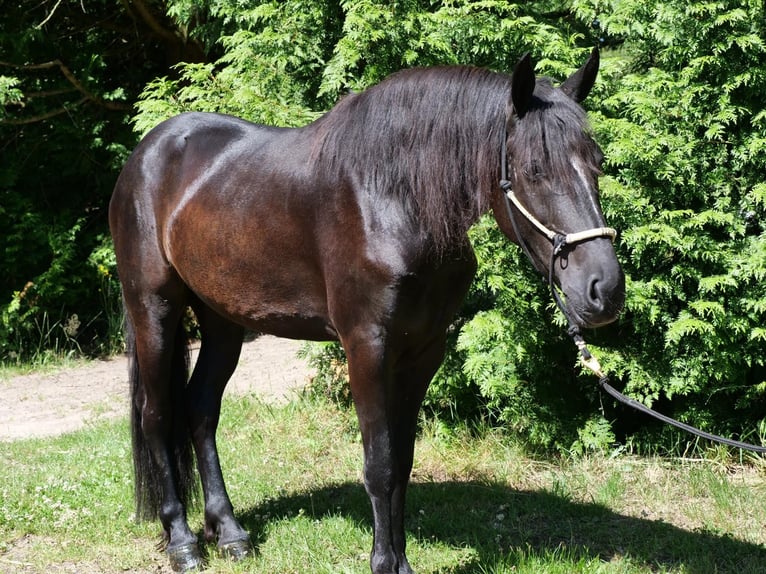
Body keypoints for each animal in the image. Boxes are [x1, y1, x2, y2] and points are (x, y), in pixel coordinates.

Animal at [109, 50, 624, 574]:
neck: (393, 200)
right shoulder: (366, 346)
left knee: (201, 408)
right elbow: (379, 464)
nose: (604, 290)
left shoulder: (422, 353)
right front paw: (382, 562)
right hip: (154, 309)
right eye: (535, 169)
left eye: (597, 164)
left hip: (223, 322)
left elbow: (402, 461)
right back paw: (182, 541)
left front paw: (401, 561)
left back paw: (229, 532)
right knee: (157, 414)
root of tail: (147, 152)